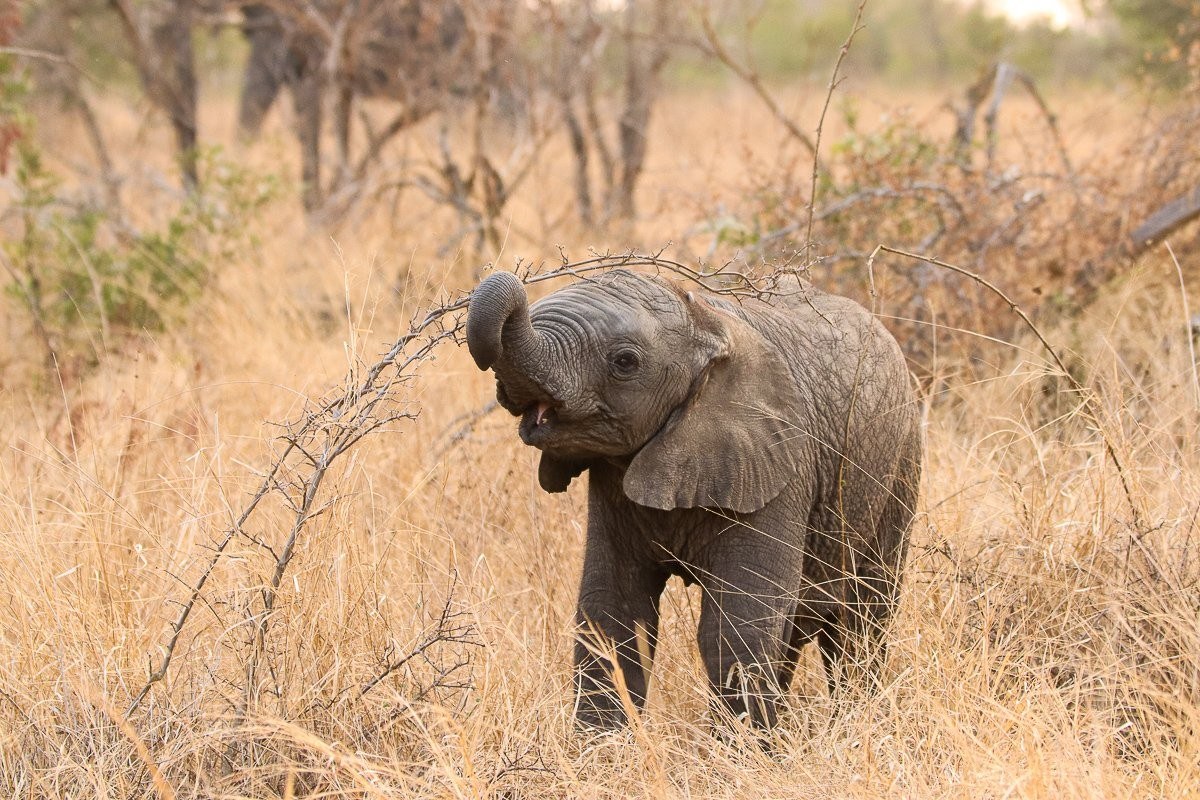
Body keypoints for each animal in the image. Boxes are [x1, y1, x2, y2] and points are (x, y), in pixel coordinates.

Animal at [465, 268, 922, 731]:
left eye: (624, 362)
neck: (705, 322)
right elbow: (611, 614)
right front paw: (599, 747)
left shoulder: (779, 469)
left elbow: (738, 629)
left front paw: (740, 750)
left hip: (901, 465)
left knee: (862, 618)